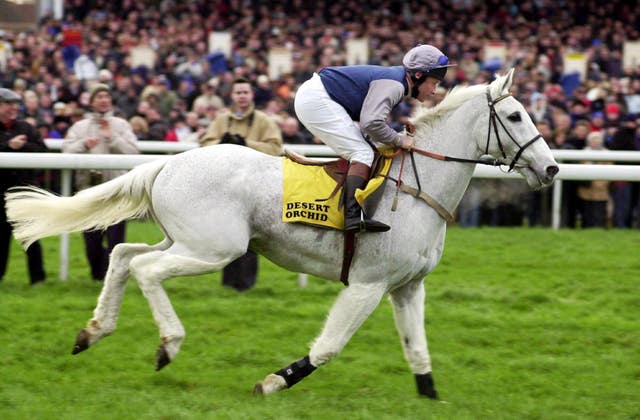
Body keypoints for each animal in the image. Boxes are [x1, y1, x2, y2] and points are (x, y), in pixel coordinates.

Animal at [5, 69, 556, 398]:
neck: (417, 187)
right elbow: (328, 347)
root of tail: (166, 162)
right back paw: (168, 344)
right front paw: (274, 381)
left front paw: (431, 396)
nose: (551, 169)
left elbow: (417, 348)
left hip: (187, 239)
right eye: (514, 115)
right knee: (145, 268)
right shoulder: (369, 283)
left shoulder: (407, 286)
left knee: (121, 254)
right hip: (215, 249)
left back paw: (92, 331)